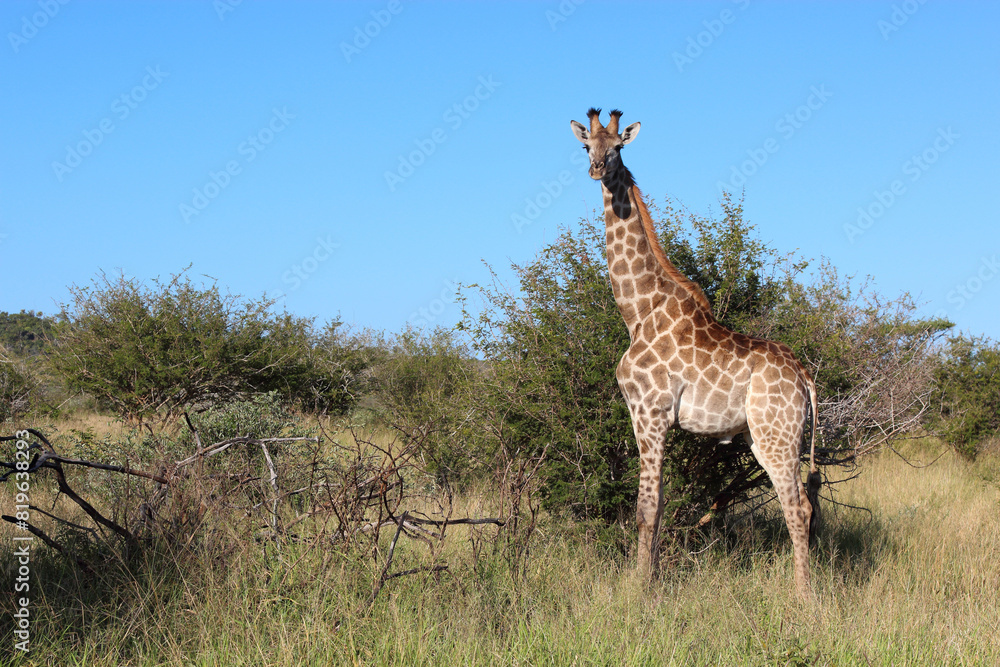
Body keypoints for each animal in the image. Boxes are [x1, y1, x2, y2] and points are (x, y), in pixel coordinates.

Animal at [570, 108, 821, 598]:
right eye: (586, 145)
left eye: (619, 147)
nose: (596, 169)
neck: (637, 310)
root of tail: (805, 377)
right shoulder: (649, 417)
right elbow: (661, 502)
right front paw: (649, 578)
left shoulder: (650, 412)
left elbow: (645, 507)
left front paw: (637, 589)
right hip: (770, 437)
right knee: (803, 502)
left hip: (777, 434)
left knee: (797, 505)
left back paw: (803, 596)